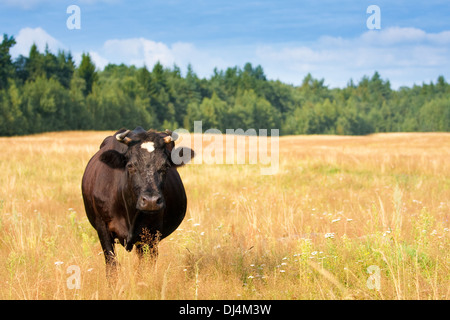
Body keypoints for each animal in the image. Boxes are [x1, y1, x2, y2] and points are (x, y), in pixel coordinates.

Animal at [81, 127, 194, 276]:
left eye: (165, 166)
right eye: (130, 165)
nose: (151, 201)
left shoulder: (151, 233)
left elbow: (146, 267)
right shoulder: (102, 226)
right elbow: (112, 266)